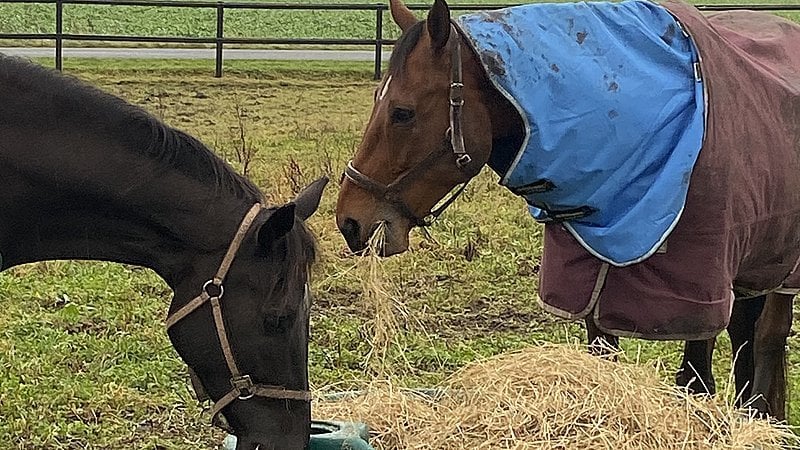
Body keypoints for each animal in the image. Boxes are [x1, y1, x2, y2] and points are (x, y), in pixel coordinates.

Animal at [335, 0, 800, 419]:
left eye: (402, 113)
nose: (350, 222)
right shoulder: (594, 293)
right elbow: (604, 364)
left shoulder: (700, 294)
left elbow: (696, 380)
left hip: (783, 271)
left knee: (767, 338)